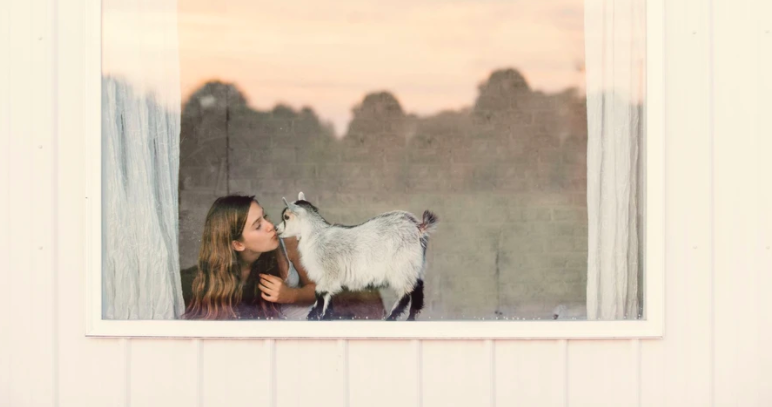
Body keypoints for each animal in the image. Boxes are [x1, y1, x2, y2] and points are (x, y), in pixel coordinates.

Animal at [274, 193, 438, 324]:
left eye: (286, 217)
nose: (276, 229)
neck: (315, 237)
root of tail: (419, 228)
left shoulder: (329, 273)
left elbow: (320, 294)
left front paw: (314, 316)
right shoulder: (329, 279)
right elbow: (327, 297)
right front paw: (322, 316)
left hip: (402, 266)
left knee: (406, 294)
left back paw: (391, 318)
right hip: (415, 266)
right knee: (418, 289)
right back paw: (411, 318)